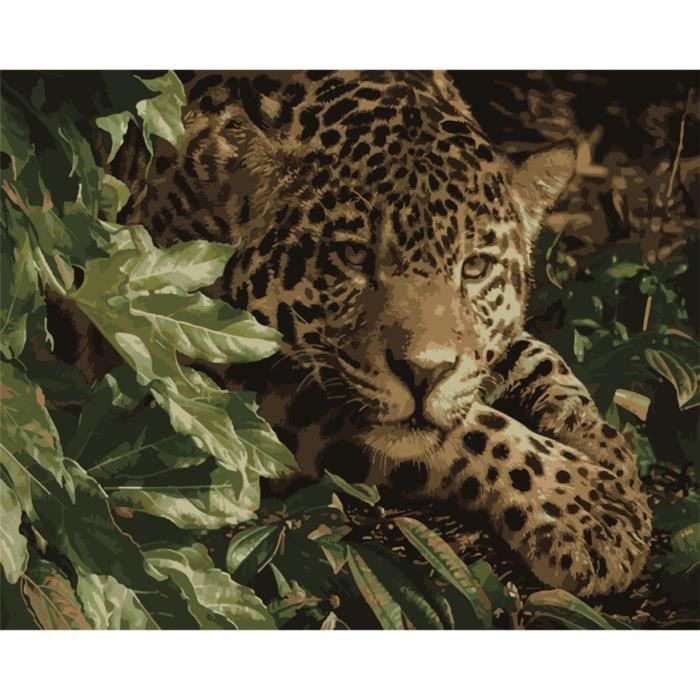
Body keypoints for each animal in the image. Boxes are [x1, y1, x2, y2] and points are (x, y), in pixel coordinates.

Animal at [95, 70, 652, 597]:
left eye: (475, 268)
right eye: (354, 256)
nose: (423, 374)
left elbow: (533, 355)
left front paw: (606, 450)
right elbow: (472, 429)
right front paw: (588, 506)